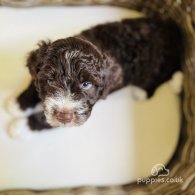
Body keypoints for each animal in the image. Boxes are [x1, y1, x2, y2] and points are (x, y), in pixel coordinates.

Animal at [6, 17, 183, 136]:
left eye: (86, 84)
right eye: (50, 80)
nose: (65, 116)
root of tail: (172, 28)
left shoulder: (85, 109)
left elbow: (46, 119)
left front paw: (20, 126)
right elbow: (33, 88)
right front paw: (16, 104)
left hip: (158, 64)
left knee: (165, 74)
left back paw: (144, 91)